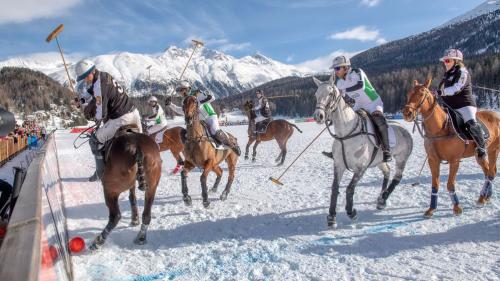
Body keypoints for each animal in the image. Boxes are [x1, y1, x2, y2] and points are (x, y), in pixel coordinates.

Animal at [312, 77, 414, 228]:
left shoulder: (361, 168)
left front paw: (351, 212)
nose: (318, 116)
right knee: (387, 171)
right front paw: (331, 217)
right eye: (316, 95)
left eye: (330, 93)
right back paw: (381, 198)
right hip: (379, 161)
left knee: (397, 177)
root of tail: (404, 128)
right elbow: (334, 188)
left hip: (402, 158)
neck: (346, 133)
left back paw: (383, 199)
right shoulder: (339, 165)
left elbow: (349, 188)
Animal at [404, 77, 498, 218]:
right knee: (489, 172)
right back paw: (485, 197)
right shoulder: (433, 160)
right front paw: (431, 209)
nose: (406, 113)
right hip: (481, 154)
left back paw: (482, 199)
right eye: (409, 93)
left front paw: (457, 208)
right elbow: (435, 184)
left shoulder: (454, 161)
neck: (440, 128)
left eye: (421, 94)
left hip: (494, 150)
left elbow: (450, 184)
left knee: (491, 172)